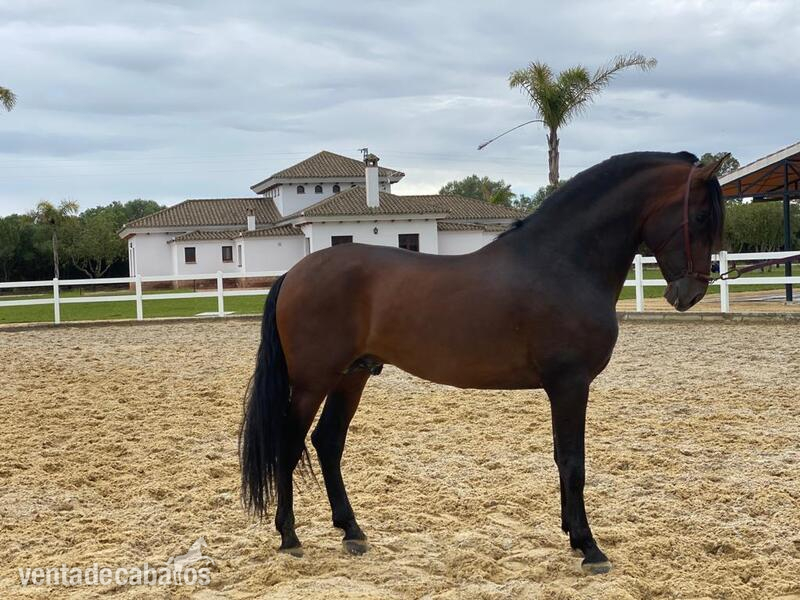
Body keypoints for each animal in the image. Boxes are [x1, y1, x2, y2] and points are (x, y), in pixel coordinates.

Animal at [239, 151, 727, 574]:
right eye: (702, 216)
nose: (690, 293)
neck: (563, 263)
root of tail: (294, 273)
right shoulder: (570, 384)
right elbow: (573, 461)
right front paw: (589, 547)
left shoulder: (564, 387)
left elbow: (562, 457)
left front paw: (572, 534)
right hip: (312, 381)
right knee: (290, 443)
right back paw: (290, 537)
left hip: (351, 376)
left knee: (328, 442)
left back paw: (352, 532)